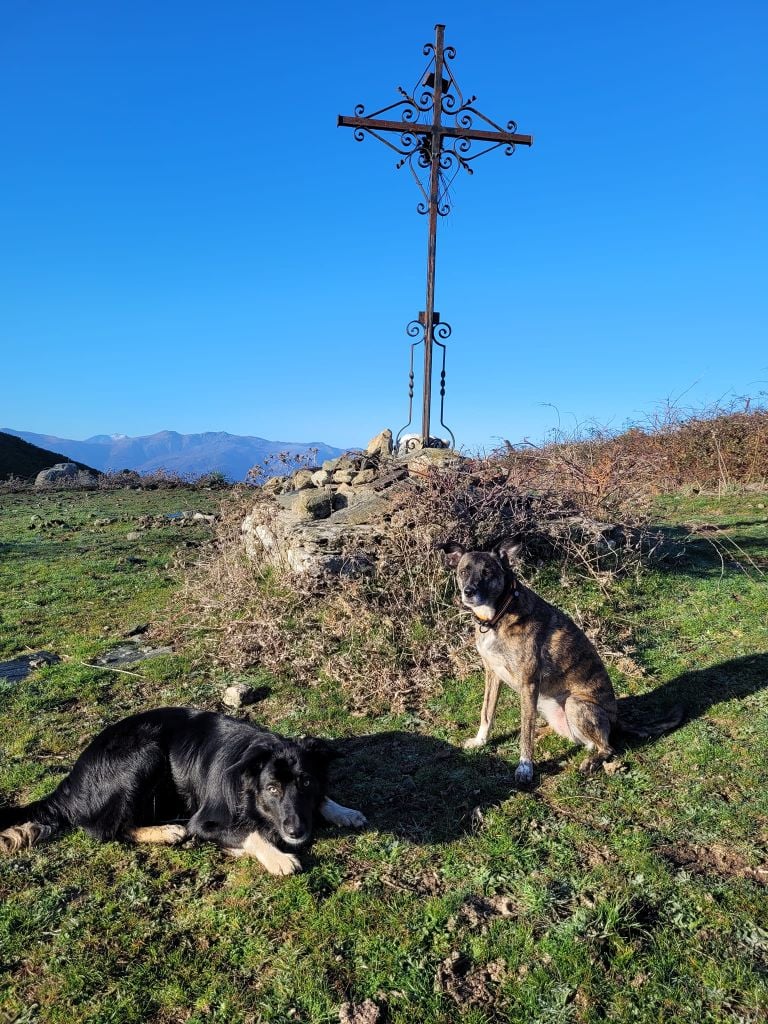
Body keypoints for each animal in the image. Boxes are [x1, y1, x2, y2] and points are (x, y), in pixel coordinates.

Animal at [0, 708, 366, 876]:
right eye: (272, 788)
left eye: (306, 783)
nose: (296, 831)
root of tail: (68, 785)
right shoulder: (204, 821)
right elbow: (250, 833)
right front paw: (277, 857)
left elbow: (323, 800)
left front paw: (343, 811)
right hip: (144, 756)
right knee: (109, 829)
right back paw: (166, 831)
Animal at [438, 540, 679, 786]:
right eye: (464, 571)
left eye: (488, 572)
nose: (468, 592)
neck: (498, 616)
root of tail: (615, 719)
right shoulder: (492, 673)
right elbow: (487, 712)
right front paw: (480, 741)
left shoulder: (528, 683)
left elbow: (525, 733)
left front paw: (525, 767)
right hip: (546, 704)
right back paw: (542, 731)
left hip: (574, 704)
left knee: (606, 746)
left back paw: (591, 761)